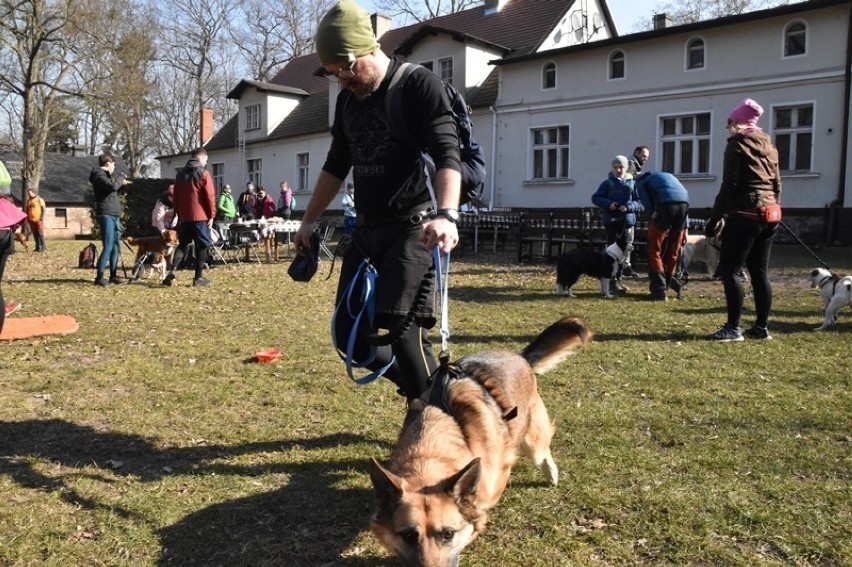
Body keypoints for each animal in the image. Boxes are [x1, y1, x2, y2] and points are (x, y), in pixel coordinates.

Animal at [366, 318, 592, 564]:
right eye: (408, 536)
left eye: (448, 534)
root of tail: (520, 356)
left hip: (533, 440)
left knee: (542, 452)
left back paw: (551, 473)